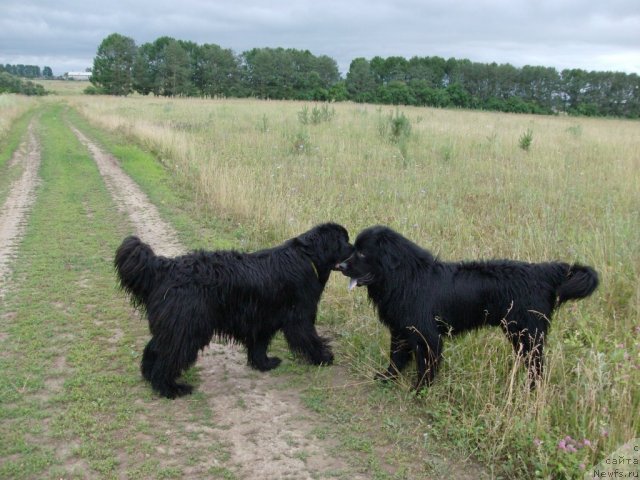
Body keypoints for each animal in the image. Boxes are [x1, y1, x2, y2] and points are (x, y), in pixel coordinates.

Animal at [116, 223, 356, 400]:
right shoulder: (299, 317)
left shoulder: (263, 318)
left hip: (177, 326)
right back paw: (170, 388)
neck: (308, 256)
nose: (356, 249)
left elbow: (259, 346)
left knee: (155, 349)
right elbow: (310, 338)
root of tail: (165, 268)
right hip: (187, 327)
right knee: (167, 359)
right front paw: (324, 357)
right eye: (344, 240)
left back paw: (150, 377)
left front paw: (264, 364)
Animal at [338, 226, 596, 390]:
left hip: (527, 335)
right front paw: (387, 378)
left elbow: (426, 366)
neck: (406, 277)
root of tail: (542, 271)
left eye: (362, 252)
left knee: (537, 367)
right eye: (353, 248)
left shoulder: (427, 336)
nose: (340, 266)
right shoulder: (401, 331)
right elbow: (396, 358)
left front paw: (420, 389)